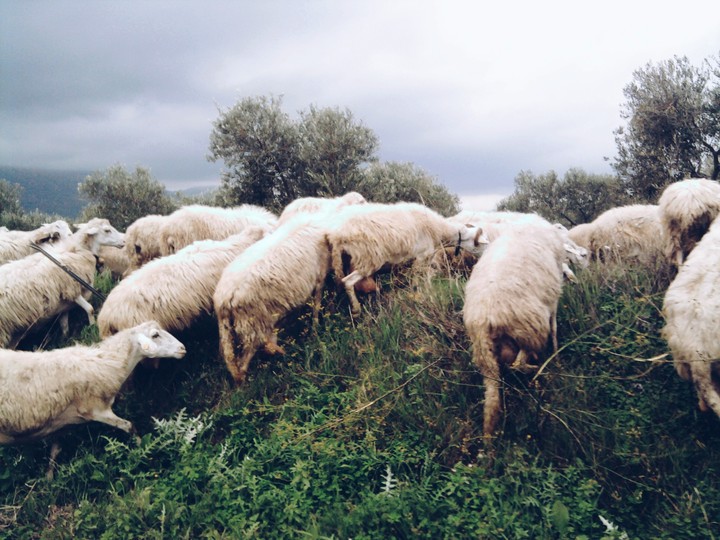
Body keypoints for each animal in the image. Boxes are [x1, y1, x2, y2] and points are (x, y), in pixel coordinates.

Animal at [0, 218, 124, 348]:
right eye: (107, 230)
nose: (124, 240)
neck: (77, 251)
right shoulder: (71, 289)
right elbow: (89, 308)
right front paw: (92, 326)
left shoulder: (64, 301)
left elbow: (64, 323)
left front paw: (65, 339)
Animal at [0, 321, 186, 444]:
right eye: (155, 335)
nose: (182, 348)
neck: (104, 362)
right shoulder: (95, 411)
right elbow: (129, 426)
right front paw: (140, 447)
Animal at [214, 217, 332, 384]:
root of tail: (224, 299)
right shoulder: (320, 276)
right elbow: (316, 305)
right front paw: (315, 329)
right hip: (253, 325)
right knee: (244, 362)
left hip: (229, 329)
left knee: (230, 356)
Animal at [325, 202, 489, 316]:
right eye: (482, 244)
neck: (440, 230)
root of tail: (336, 235)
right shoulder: (422, 257)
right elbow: (418, 281)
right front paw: (420, 297)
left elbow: (423, 279)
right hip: (368, 259)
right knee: (347, 282)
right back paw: (356, 309)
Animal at [463, 224, 568, 439]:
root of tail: (484, 319)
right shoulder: (552, 299)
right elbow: (554, 328)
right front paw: (556, 355)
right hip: (529, 329)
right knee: (518, 364)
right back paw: (536, 369)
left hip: (485, 353)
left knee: (492, 395)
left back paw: (488, 438)